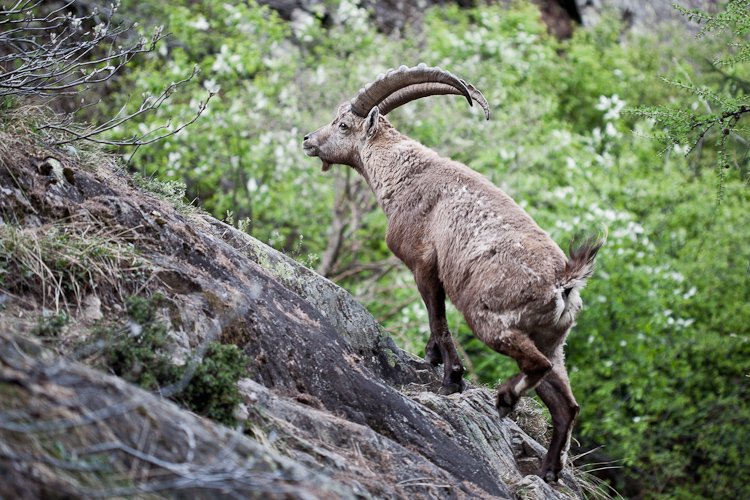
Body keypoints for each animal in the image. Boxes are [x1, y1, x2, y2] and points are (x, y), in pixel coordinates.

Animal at [303, 64, 603, 482]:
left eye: (343, 124)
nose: (308, 139)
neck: (404, 173)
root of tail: (565, 283)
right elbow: (436, 324)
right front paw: (432, 361)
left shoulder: (424, 265)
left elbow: (438, 320)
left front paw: (451, 379)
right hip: (553, 341)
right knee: (566, 405)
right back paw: (547, 472)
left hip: (491, 320)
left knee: (536, 367)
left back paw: (505, 400)